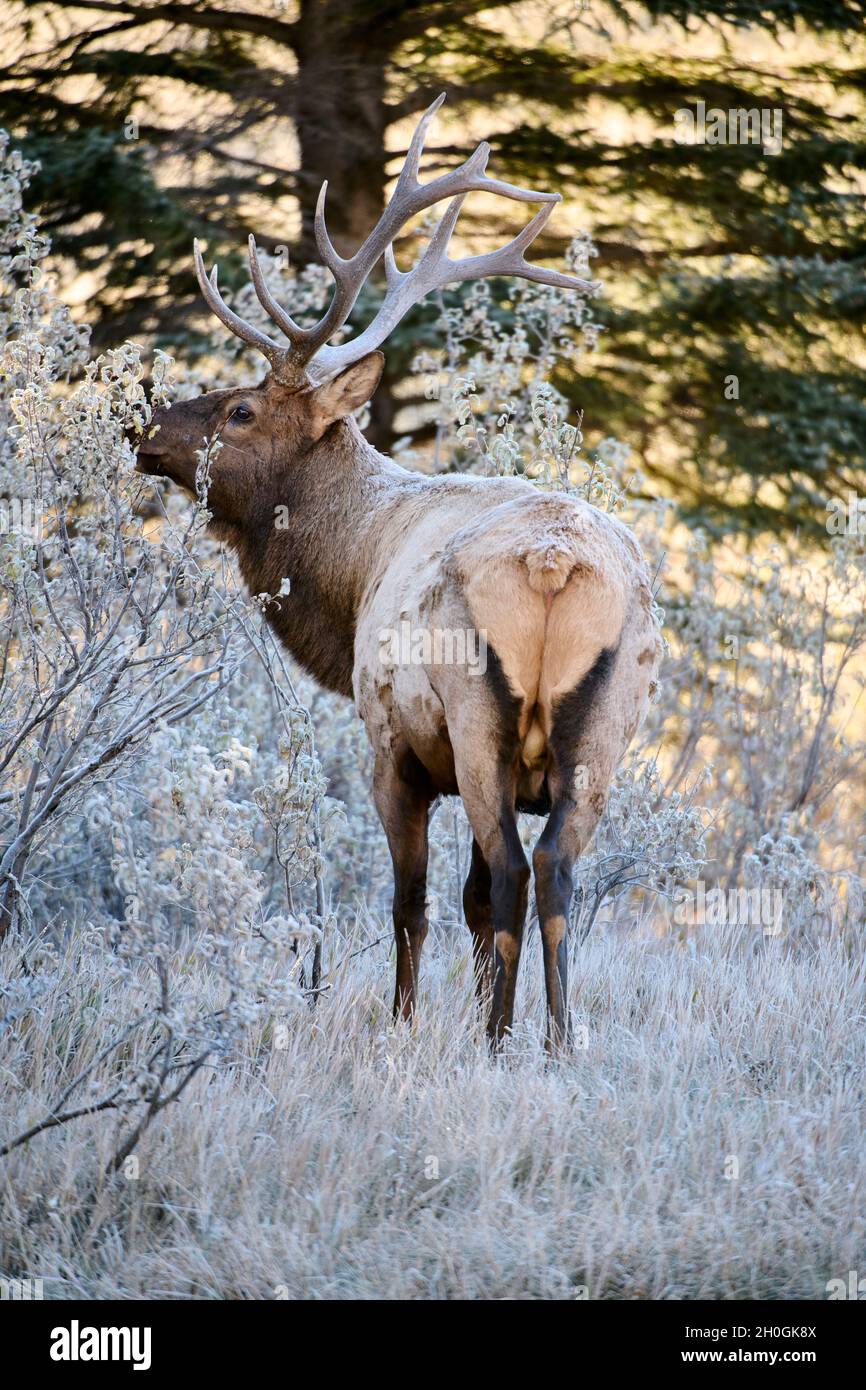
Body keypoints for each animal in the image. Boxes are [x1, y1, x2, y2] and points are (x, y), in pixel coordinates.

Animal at [136, 95, 664, 1050]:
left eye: (241, 410)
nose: (145, 429)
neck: (348, 575)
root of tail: (555, 563)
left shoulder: (394, 747)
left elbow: (414, 903)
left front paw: (406, 1022)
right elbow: (470, 902)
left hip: (478, 719)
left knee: (514, 872)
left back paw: (499, 1040)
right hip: (610, 724)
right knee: (557, 872)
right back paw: (556, 1039)